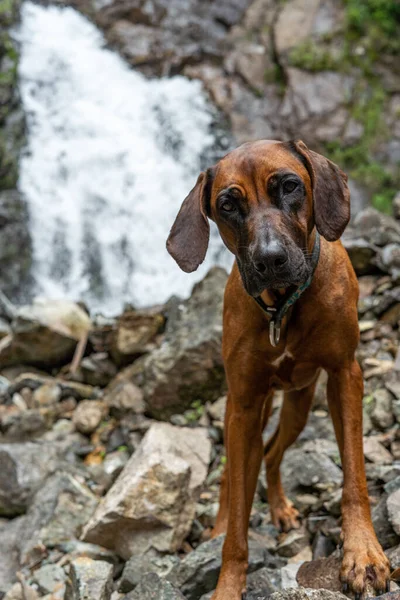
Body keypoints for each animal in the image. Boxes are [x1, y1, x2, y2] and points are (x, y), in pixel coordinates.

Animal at [166, 142, 390, 600]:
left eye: (289, 186)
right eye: (227, 205)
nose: (270, 260)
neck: (283, 306)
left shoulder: (345, 375)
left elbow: (354, 478)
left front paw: (362, 553)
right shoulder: (245, 404)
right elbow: (238, 515)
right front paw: (228, 582)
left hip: (299, 406)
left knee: (271, 453)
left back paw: (282, 507)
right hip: (246, 411)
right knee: (232, 476)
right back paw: (218, 527)